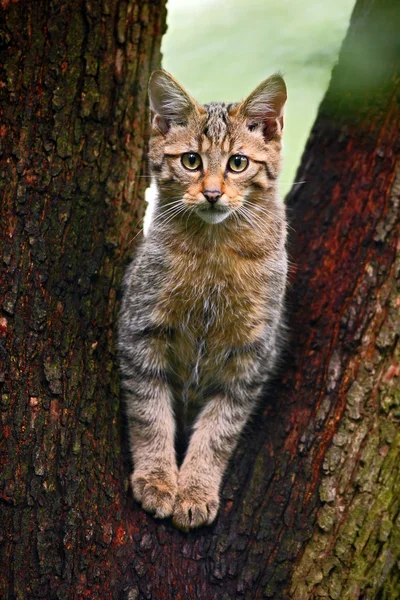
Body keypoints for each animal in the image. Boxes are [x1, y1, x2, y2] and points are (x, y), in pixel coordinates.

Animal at [119, 70, 288, 528]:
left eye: (238, 163)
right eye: (191, 161)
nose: (212, 193)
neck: (213, 251)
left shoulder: (250, 355)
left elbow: (218, 431)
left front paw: (195, 489)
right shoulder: (141, 331)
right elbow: (149, 414)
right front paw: (158, 479)